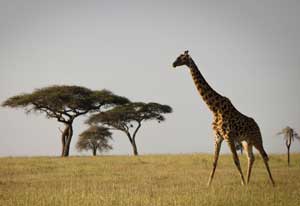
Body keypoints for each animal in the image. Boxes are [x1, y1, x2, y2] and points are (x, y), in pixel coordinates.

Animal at [173, 50, 274, 187]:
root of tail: (257, 124)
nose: (173, 64)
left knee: (264, 155)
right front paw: (208, 184)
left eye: (181, 57)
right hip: (246, 141)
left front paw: (242, 183)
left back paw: (272, 182)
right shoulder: (218, 136)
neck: (214, 108)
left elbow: (235, 160)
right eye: (177, 57)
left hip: (257, 138)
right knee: (251, 157)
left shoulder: (228, 136)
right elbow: (214, 162)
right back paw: (249, 181)